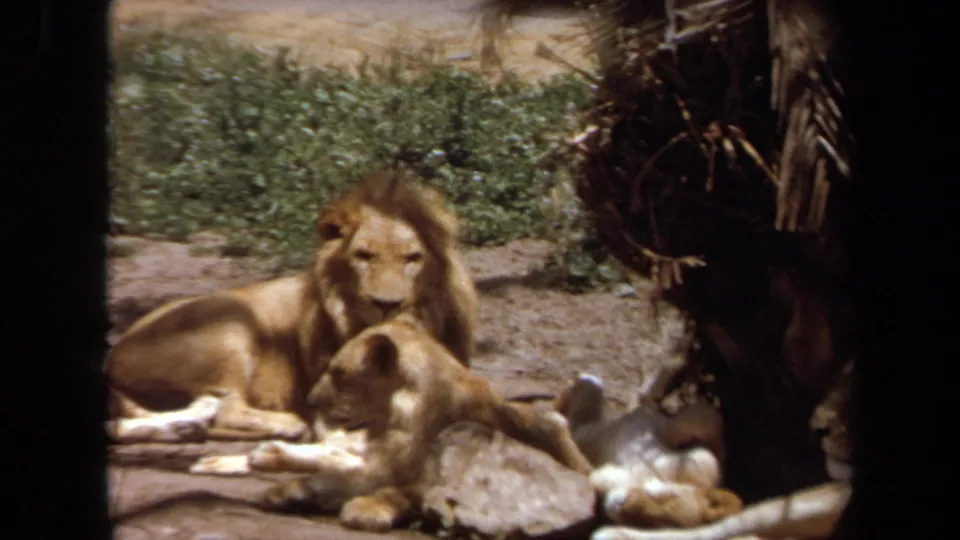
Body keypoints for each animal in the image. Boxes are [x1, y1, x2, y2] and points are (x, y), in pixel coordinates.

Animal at [106, 170, 480, 444]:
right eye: (364, 256)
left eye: (413, 258)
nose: (387, 304)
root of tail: (116, 351)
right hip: (233, 321)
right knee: (224, 407)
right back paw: (287, 424)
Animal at [187, 314, 593, 533]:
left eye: (340, 374)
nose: (311, 401)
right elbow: (336, 460)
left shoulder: (407, 465)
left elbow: (376, 483)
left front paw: (363, 507)